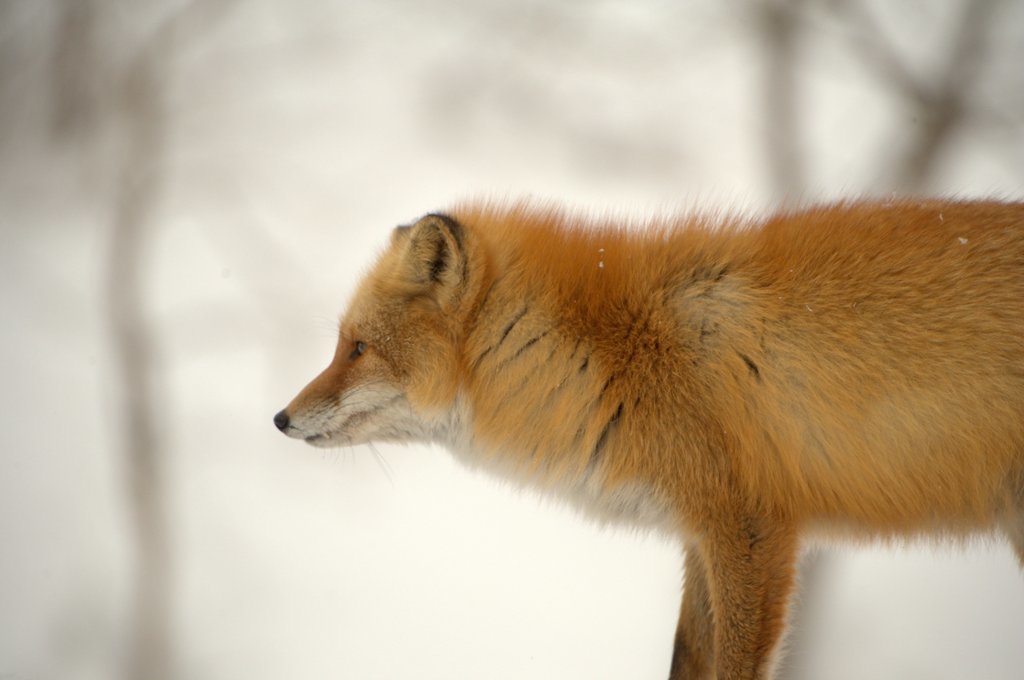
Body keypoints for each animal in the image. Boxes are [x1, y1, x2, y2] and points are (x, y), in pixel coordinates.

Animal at [274, 200, 1024, 680]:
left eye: (358, 348)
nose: (280, 418)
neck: (618, 356)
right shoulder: (702, 536)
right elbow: (686, 661)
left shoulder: (752, 528)